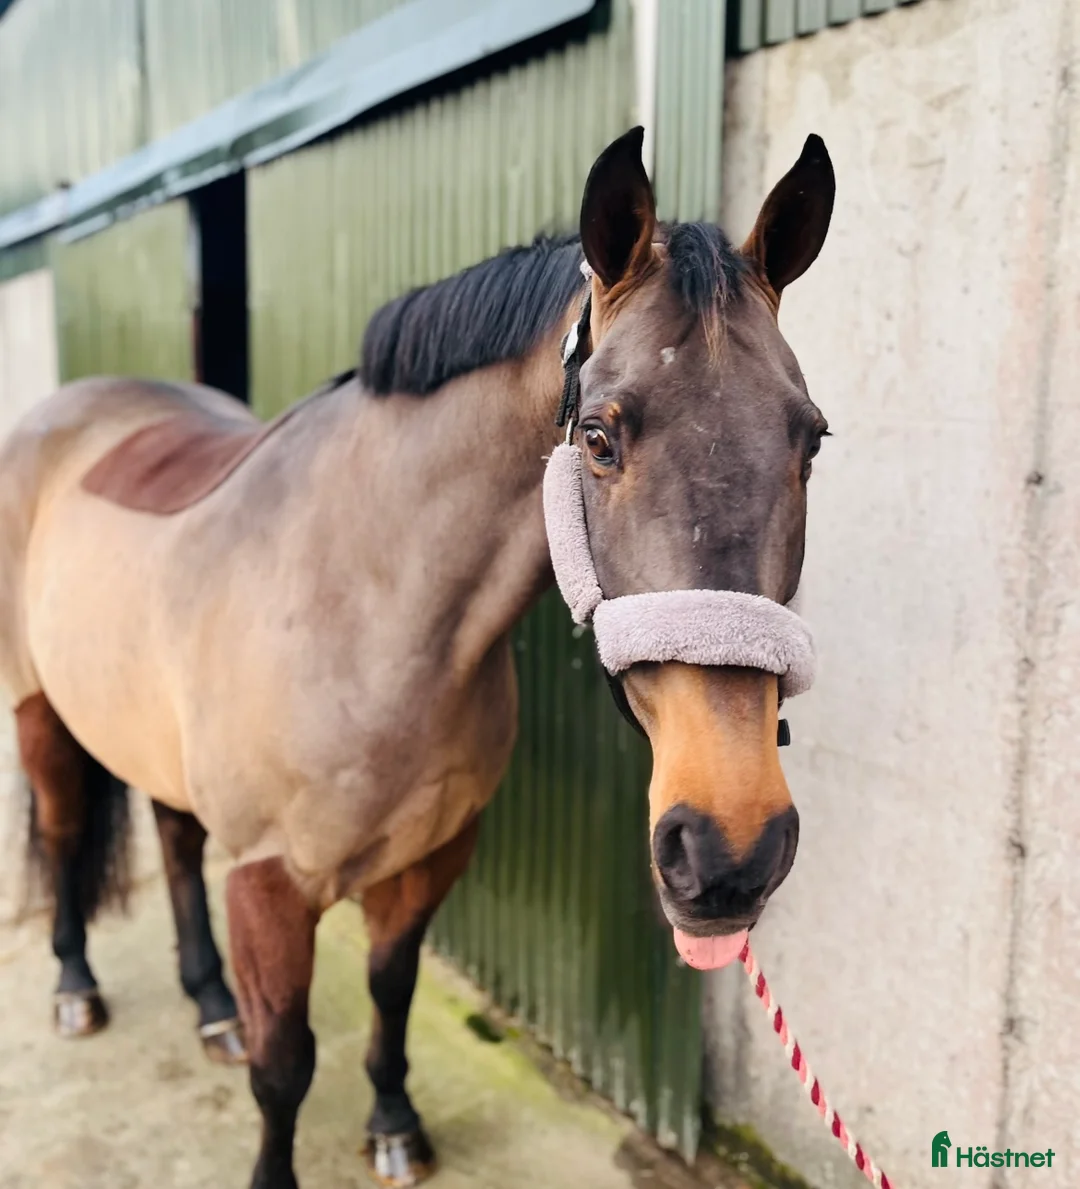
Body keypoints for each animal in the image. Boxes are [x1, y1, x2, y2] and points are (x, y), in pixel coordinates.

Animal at [0, 126, 834, 1189]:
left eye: (810, 441)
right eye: (598, 437)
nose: (729, 849)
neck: (371, 603)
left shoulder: (435, 852)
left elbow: (390, 989)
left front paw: (394, 1122)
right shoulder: (270, 884)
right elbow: (284, 1066)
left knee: (177, 844)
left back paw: (211, 1006)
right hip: (39, 712)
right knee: (67, 834)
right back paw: (75, 986)